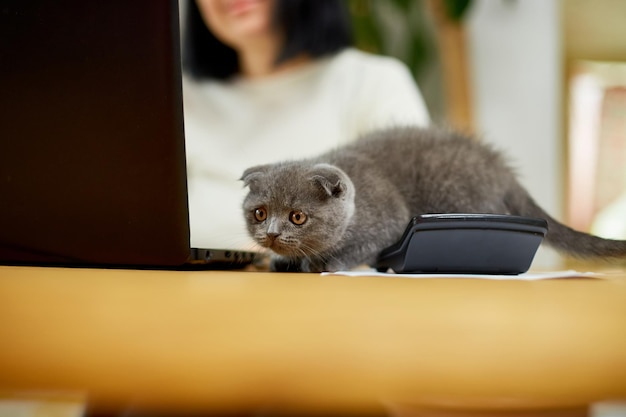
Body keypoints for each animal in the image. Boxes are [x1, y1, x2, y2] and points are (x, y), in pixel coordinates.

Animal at [240, 125, 624, 272]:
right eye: (260, 213)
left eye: (297, 217)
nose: (271, 233)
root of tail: (501, 168)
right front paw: (283, 261)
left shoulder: (388, 219)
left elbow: (363, 247)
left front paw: (325, 263)